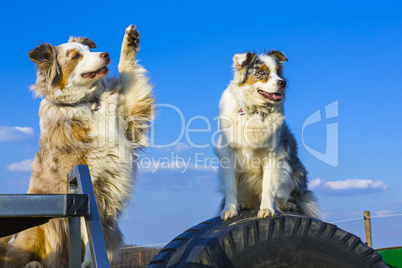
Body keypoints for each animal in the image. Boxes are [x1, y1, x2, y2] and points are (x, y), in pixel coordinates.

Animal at [0, 25, 154, 268]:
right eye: (75, 56)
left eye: (89, 50)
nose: (105, 54)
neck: (86, 102)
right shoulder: (85, 184)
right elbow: (87, 228)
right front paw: (90, 261)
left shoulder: (131, 116)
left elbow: (127, 71)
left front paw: (130, 42)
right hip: (37, 229)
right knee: (17, 258)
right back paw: (33, 264)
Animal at [217, 50, 320, 220]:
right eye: (261, 72)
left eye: (278, 72)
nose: (283, 83)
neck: (254, 111)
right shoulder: (229, 154)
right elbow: (231, 186)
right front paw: (229, 210)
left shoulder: (274, 155)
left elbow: (268, 186)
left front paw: (267, 209)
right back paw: (244, 203)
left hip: (296, 172)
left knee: (289, 197)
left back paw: (286, 205)